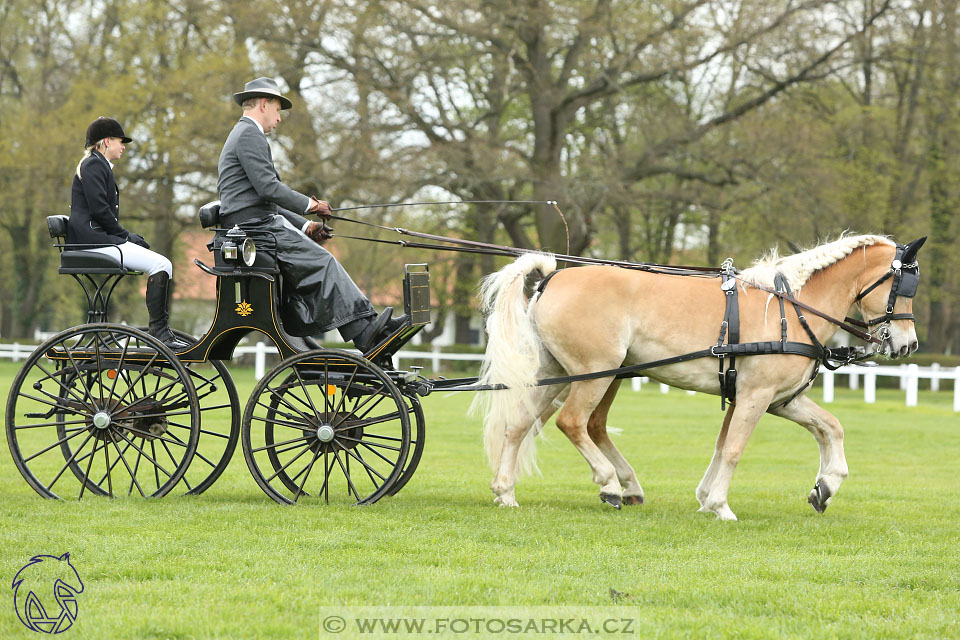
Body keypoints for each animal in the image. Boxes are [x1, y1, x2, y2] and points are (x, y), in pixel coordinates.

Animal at [476, 235, 928, 520]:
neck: (792, 308)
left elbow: (828, 428)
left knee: (520, 426)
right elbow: (734, 450)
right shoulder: (756, 395)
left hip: (556, 373)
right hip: (593, 374)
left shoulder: (779, 399)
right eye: (904, 285)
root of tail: (551, 278)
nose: (908, 345)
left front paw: (826, 485)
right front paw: (721, 506)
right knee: (574, 423)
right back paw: (609, 485)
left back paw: (505, 491)